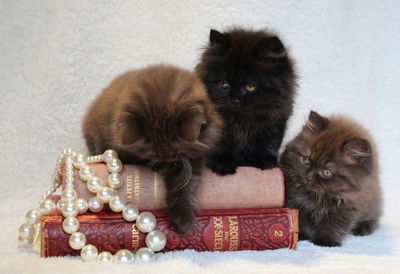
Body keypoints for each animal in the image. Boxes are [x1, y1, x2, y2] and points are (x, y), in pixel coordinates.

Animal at [83, 65, 223, 233]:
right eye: (151, 153)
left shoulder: (194, 159)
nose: (166, 163)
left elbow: (187, 184)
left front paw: (184, 221)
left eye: (177, 153)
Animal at [195, 27, 296, 176]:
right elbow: (220, 142)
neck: (241, 119)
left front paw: (265, 161)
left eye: (250, 86)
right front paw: (222, 163)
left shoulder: (276, 119)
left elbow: (269, 142)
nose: (234, 99)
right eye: (224, 84)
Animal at [280, 110, 382, 247]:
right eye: (306, 160)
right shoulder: (294, 200)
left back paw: (364, 228)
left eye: (327, 172)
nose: (308, 177)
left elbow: (333, 226)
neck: (317, 196)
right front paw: (301, 236)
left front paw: (325, 241)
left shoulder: (348, 207)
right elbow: (299, 220)